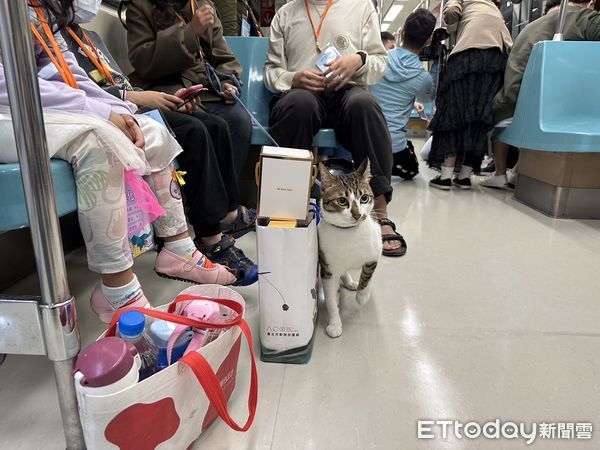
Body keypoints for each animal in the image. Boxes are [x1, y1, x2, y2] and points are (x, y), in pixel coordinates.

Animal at [318, 159, 380, 338]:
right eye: (342, 201)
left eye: (364, 198)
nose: (357, 214)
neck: (348, 232)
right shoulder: (328, 268)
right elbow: (331, 299)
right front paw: (335, 323)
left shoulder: (375, 252)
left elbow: (368, 275)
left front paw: (362, 295)